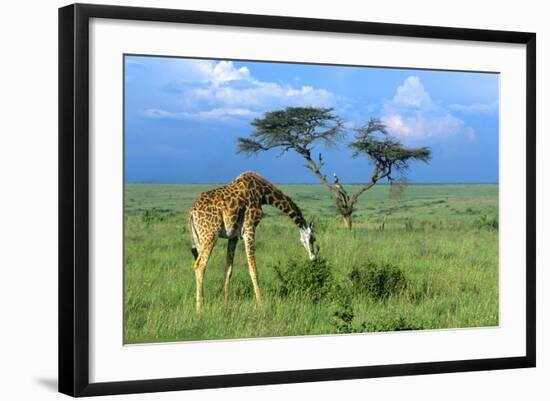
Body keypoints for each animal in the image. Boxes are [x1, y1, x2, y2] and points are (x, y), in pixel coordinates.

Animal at [190, 170, 320, 310]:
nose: (313, 257)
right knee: (200, 265)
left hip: (199, 239)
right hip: (210, 235)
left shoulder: (233, 236)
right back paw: (200, 308)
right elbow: (253, 269)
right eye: (313, 239)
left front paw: (224, 301)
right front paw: (261, 303)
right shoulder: (249, 228)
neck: (262, 193)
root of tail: (191, 213)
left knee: (198, 263)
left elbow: (228, 269)